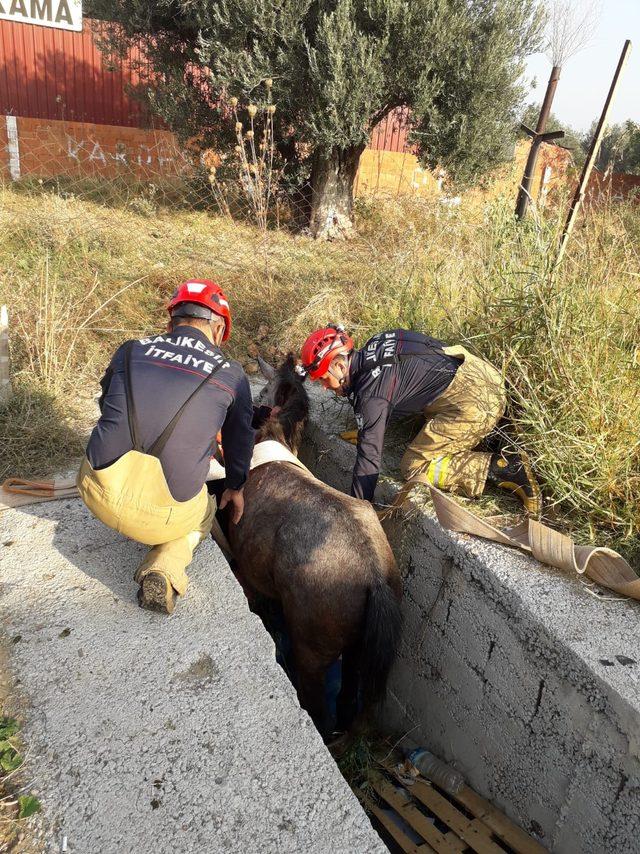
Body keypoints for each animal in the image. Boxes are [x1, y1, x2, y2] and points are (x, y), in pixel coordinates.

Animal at [228, 358, 402, 740]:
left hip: (312, 653)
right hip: (355, 654)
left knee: (318, 706)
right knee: (348, 699)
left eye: (263, 390)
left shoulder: (247, 573)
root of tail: (373, 575)